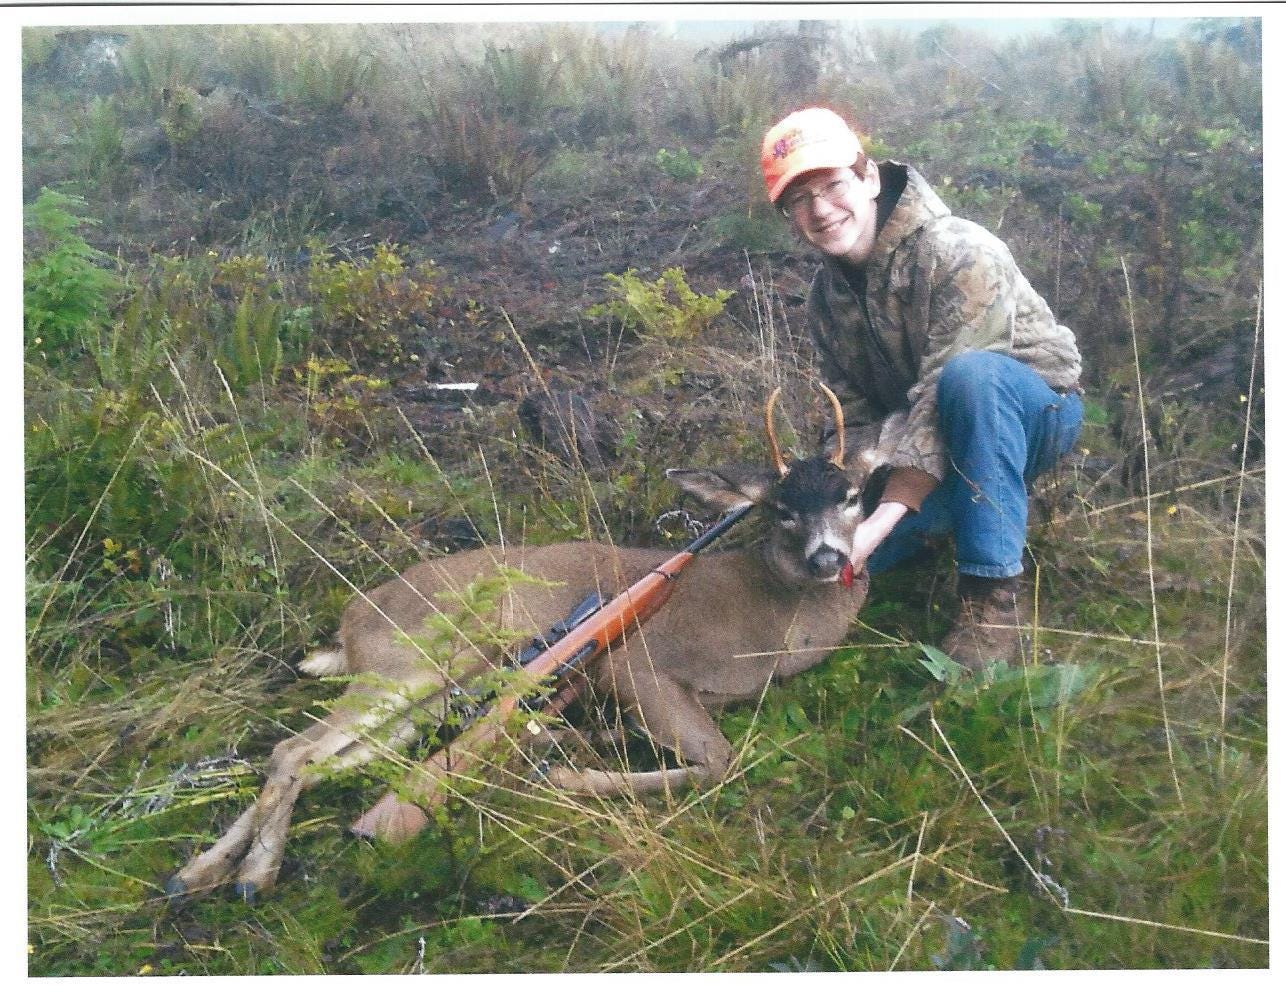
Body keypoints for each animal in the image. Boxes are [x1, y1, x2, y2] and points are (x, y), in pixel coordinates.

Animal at [166, 386, 885, 903]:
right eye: (781, 510)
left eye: (852, 495)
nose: (827, 559)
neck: (769, 626)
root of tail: (349, 621)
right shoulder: (638, 666)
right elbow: (719, 763)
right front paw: (564, 773)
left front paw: (575, 750)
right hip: (413, 663)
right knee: (293, 751)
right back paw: (252, 876)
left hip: (426, 698)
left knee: (321, 762)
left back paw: (198, 874)